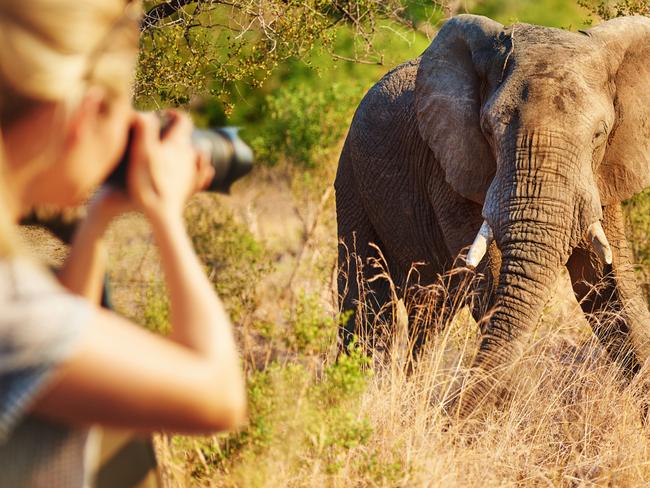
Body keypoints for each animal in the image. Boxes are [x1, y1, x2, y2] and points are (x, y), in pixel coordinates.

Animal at [336, 14, 648, 416]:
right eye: (488, 129)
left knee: (429, 312)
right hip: (351, 176)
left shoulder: (602, 175)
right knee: (368, 303)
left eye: (599, 134)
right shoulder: (451, 167)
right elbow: (492, 282)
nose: (449, 414)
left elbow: (606, 286)